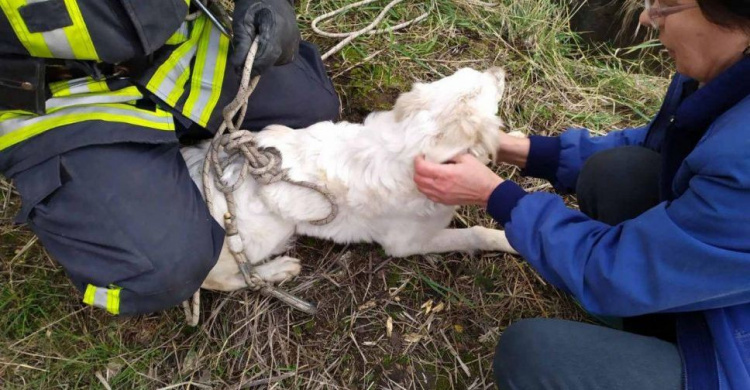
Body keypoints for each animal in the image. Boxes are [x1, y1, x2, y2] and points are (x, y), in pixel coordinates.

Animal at [182, 68, 520, 292]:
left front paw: (516, 140)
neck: (411, 146)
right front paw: (507, 240)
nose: (499, 69)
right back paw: (277, 270)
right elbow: (476, 233)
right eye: (486, 89)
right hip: (261, 235)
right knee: (223, 280)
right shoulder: (407, 243)